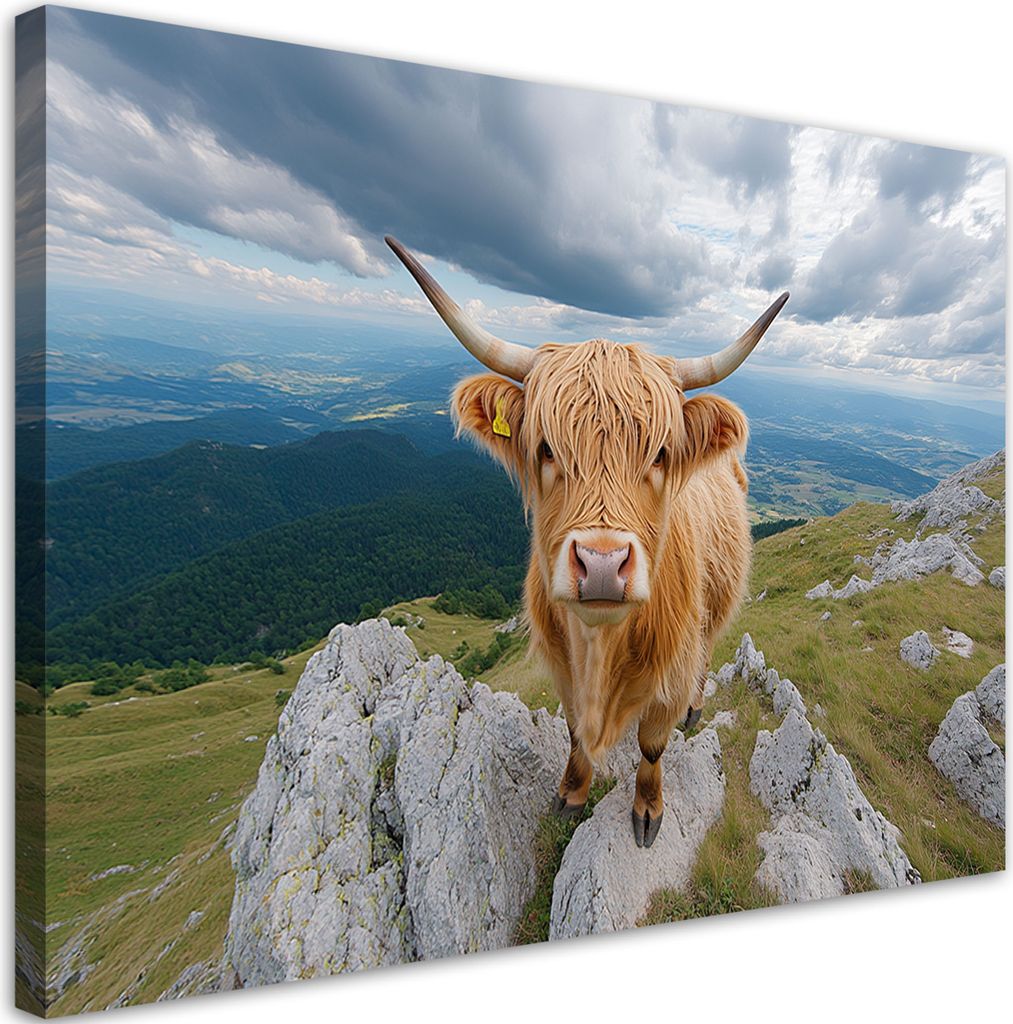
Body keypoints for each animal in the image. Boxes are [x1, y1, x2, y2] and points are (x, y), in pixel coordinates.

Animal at [386, 236, 788, 847]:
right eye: (546, 447)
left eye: (661, 453)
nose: (602, 564)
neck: (602, 650)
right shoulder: (560, 665)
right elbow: (575, 733)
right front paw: (571, 794)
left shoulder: (667, 675)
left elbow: (652, 744)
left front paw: (647, 809)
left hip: (713, 611)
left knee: (705, 654)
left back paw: (696, 708)